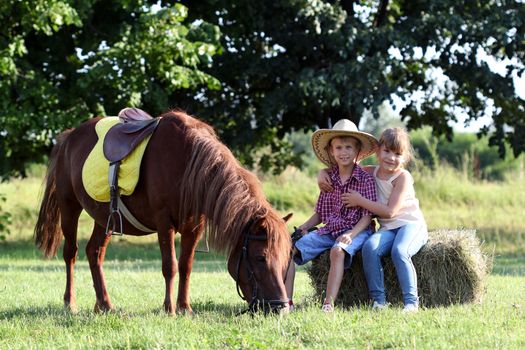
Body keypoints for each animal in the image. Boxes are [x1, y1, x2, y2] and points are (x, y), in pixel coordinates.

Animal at [34, 110, 292, 314]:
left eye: (286, 259)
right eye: (260, 258)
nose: (280, 307)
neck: (187, 162)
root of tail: (69, 137)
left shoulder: (194, 227)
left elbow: (186, 266)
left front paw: (185, 307)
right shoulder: (163, 222)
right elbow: (170, 266)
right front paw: (169, 308)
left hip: (104, 217)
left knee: (94, 252)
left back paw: (104, 304)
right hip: (69, 207)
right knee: (71, 253)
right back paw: (70, 303)